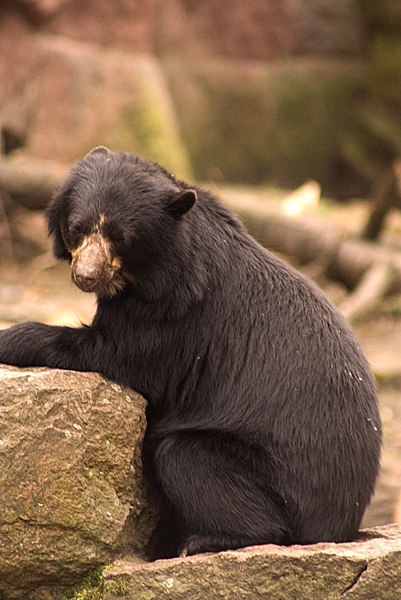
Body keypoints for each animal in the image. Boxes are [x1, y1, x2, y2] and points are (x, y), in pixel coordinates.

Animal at [0, 146, 382, 556]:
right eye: (77, 228)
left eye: (121, 238)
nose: (86, 276)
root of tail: (341, 523)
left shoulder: (173, 313)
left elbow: (115, 352)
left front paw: (12, 337)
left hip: (275, 478)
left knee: (184, 457)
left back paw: (204, 540)